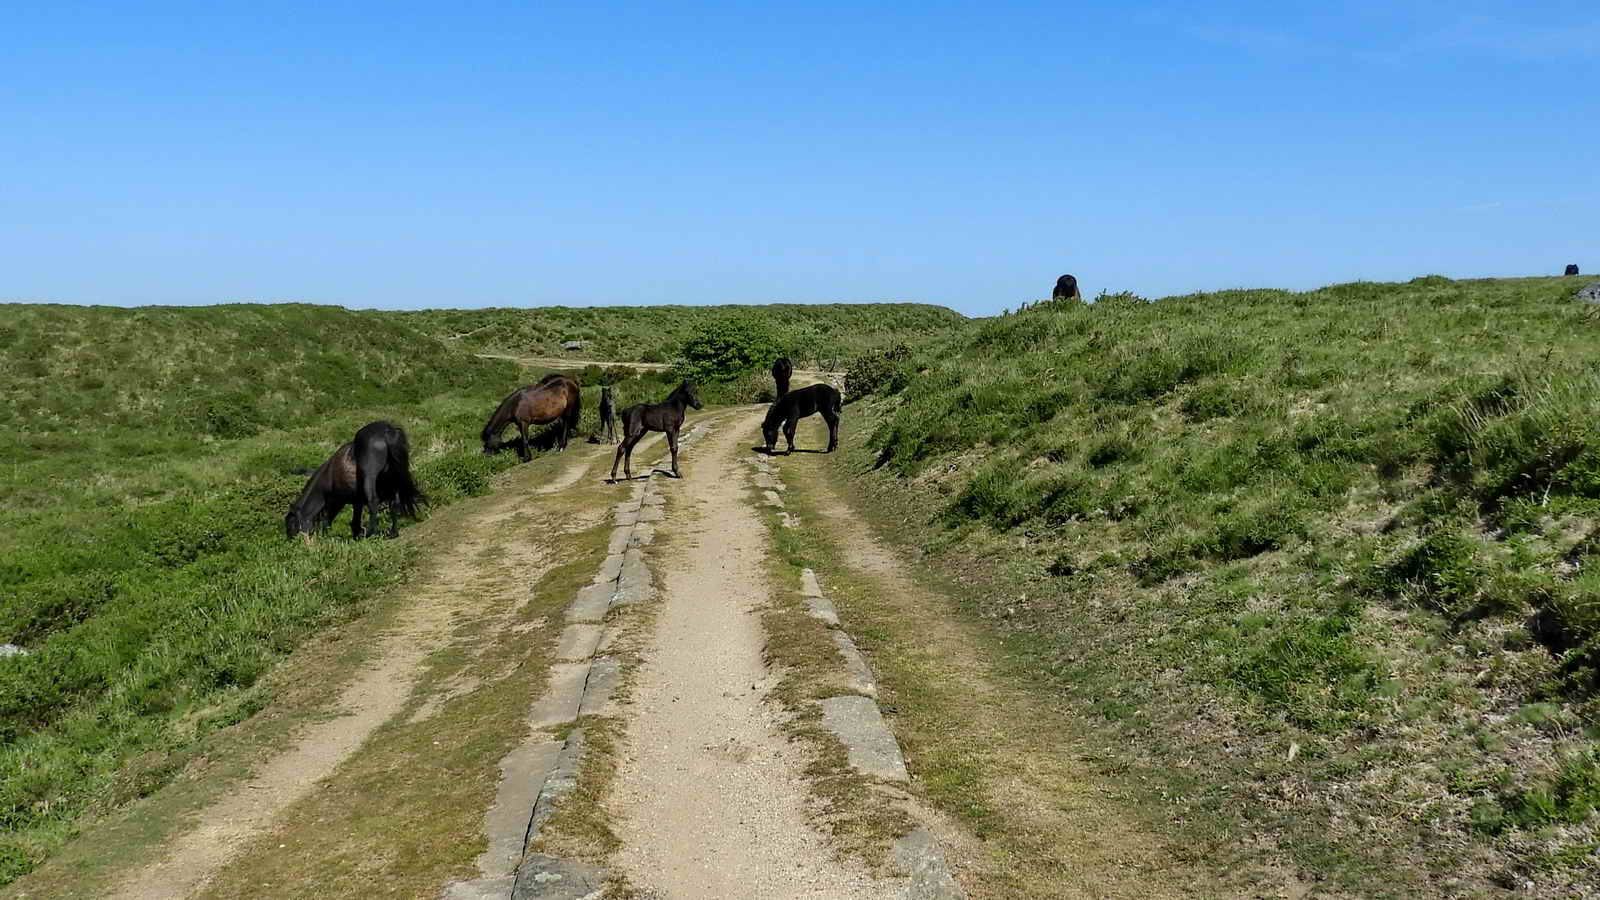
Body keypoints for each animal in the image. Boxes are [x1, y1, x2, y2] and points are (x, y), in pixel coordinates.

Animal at [286, 419, 425, 534]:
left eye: (291, 525)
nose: (295, 542)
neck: (328, 474)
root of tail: (386, 432)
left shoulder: (335, 501)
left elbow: (328, 520)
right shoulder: (357, 502)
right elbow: (355, 522)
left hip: (370, 477)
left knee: (373, 501)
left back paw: (371, 533)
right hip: (394, 480)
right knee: (394, 503)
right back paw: (393, 532)